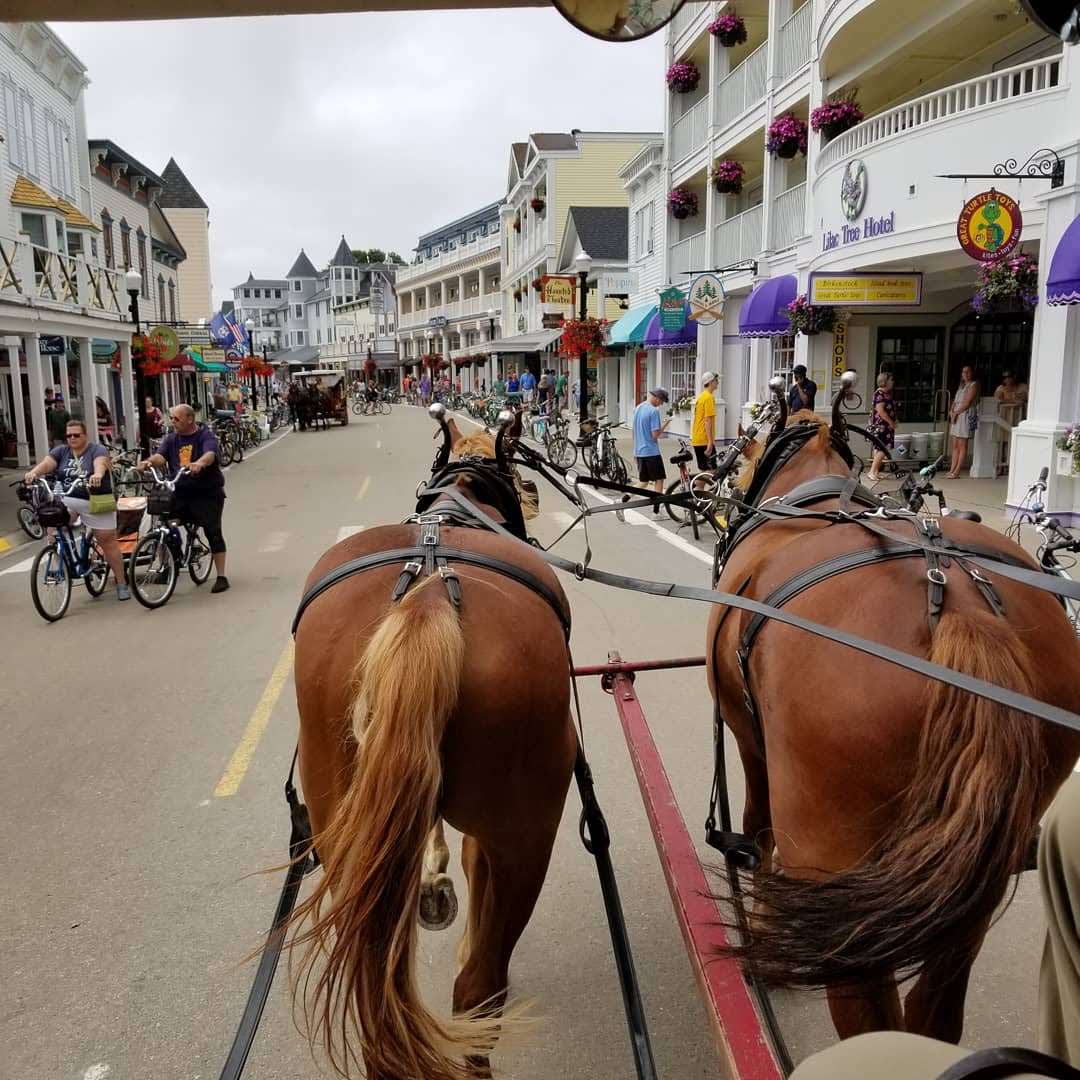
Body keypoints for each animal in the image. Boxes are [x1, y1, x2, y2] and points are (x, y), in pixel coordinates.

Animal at [288, 409, 577, 1079]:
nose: (533, 497)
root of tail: (427, 596)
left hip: (344, 834)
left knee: (380, 1008)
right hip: (527, 836)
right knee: (478, 991)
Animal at [707, 386, 1080, 1044]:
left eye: (749, 442)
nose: (724, 479)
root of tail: (960, 609)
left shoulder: (751, 742)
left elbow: (757, 826)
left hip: (834, 856)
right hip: (977, 873)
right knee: (936, 1009)